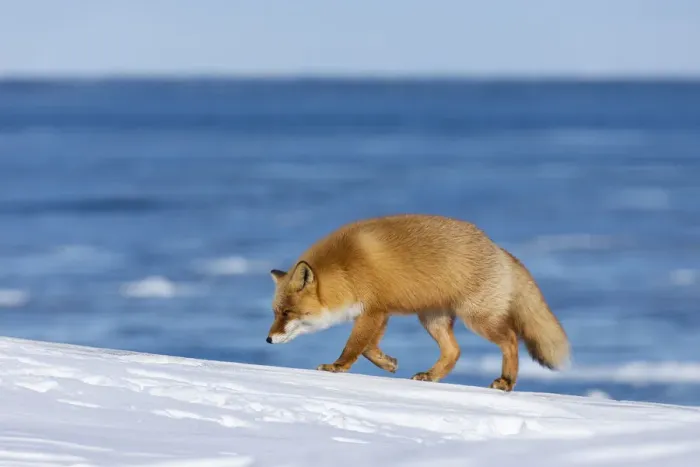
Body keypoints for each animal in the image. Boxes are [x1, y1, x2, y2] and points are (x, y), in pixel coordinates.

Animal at [265, 214, 569, 391]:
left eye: (287, 312)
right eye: (275, 312)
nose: (268, 339)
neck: (346, 270)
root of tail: (498, 249)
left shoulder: (374, 310)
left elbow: (354, 346)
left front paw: (337, 367)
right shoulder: (379, 311)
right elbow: (368, 348)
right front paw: (388, 363)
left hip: (477, 318)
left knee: (511, 339)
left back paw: (506, 381)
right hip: (432, 319)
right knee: (454, 351)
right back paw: (431, 376)